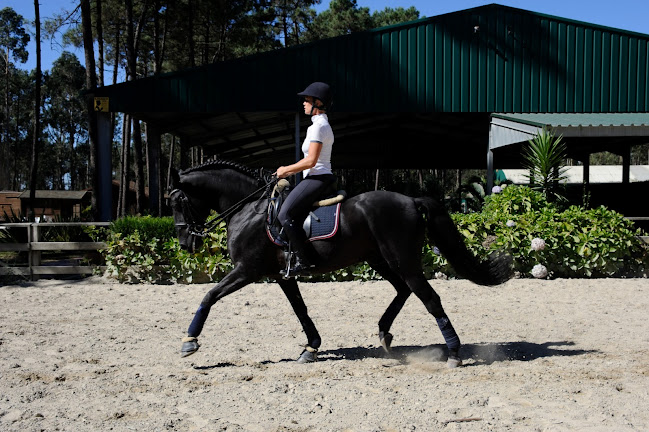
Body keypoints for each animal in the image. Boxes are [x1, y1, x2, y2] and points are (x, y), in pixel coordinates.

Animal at [171, 159, 512, 368]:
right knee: (403, 290)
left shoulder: (246, 270)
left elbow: (209, 296)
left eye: (176, 201)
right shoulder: (283, 276)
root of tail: (412, 200)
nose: (186, 243)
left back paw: (453, 353)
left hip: (403, 261)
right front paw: (311, 347)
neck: (250, 210)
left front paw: (189, 342)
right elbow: (300, 310)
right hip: (379, 259)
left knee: (429, 298)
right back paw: (384, 334)